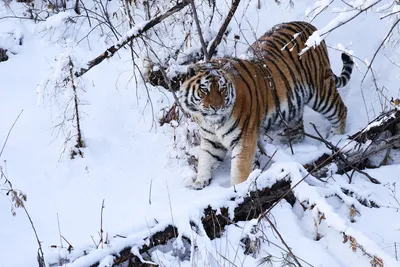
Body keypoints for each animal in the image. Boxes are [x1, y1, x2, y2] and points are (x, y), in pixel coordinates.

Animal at [178, 21, 354, 189]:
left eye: (222, 89)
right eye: (204, 89)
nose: (216, 107)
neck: (210, 121)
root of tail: (309, 25)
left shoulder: (244, 139)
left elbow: (240, 170)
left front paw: (237, 190)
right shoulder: (210, 140)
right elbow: (205, 160)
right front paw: (199, 182)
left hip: (321, 91)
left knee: (341, 110)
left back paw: (336, 139)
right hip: (294, 108)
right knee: (298, 130)